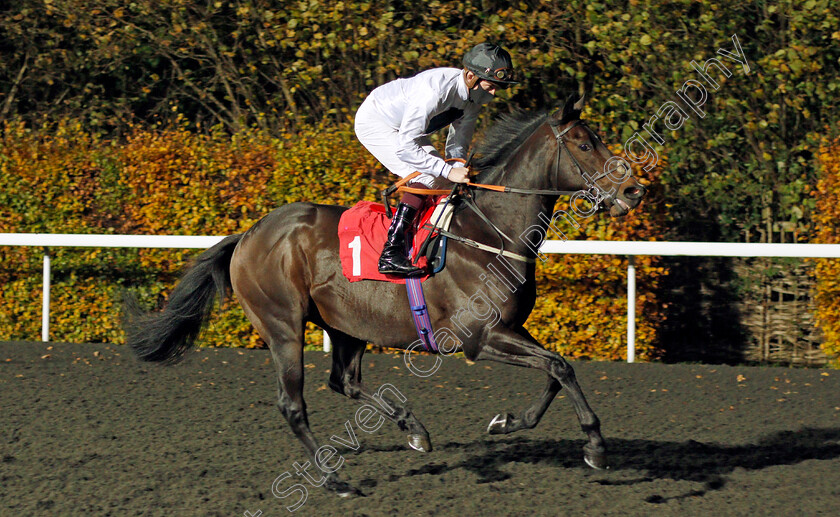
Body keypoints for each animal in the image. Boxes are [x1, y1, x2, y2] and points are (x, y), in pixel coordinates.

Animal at [123, 97, 648, 496]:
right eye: (586, 143)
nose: (634, 189)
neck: (489, 233)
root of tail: (249, 234)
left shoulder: (511, 329)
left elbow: (557, 369)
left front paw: (507, 422)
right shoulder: (480, 338)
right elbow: (560, 367)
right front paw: (595, 446)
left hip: (346, 324)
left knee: (344, 382)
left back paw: (413, 430)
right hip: (283, 327)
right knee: (294, 405)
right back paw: (334, 480)